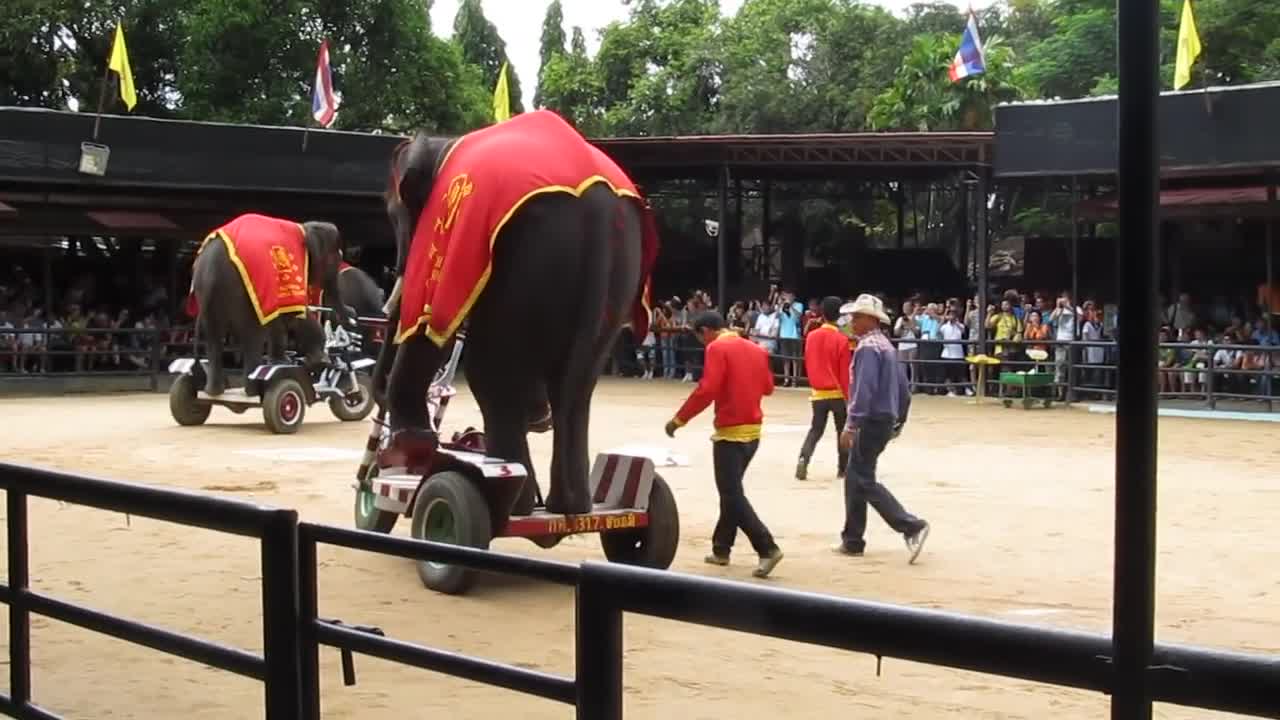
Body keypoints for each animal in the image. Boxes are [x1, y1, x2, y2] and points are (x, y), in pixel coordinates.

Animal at [185, 210, 350, 394]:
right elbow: (292, 312)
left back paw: (214, 392)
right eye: (335, 261)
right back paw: (253, 391)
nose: (352, 316)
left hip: (207, 293)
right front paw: (317, 361)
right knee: (252, 335)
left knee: (214, 335)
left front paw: (284, 362)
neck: (305, 227)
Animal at [368, 107, 650, 515]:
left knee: (491, 372)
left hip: (530, 254)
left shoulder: (453, 216)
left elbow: (432, 313)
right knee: (576, 386)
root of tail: (597, 205)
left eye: (393, 213)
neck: (446, 140)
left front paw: (412, 441)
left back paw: (514, 501)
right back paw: (568, 506)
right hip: (618, 266)